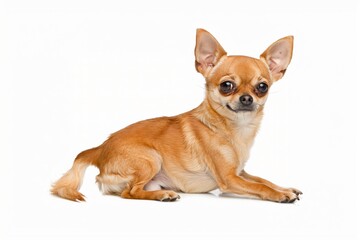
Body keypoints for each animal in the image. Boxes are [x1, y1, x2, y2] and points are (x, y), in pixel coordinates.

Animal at [52, 29, 302, 203]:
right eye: (227, 86)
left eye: (262, 87)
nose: (247, 98)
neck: (233, 129)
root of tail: (100, 149)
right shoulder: (229, 179)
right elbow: (260, 187)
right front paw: (280, 195)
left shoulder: (241, 172)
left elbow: (263, 179)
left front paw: (285, 188)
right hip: (150, 158)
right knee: (129, 192)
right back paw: (162, 197)